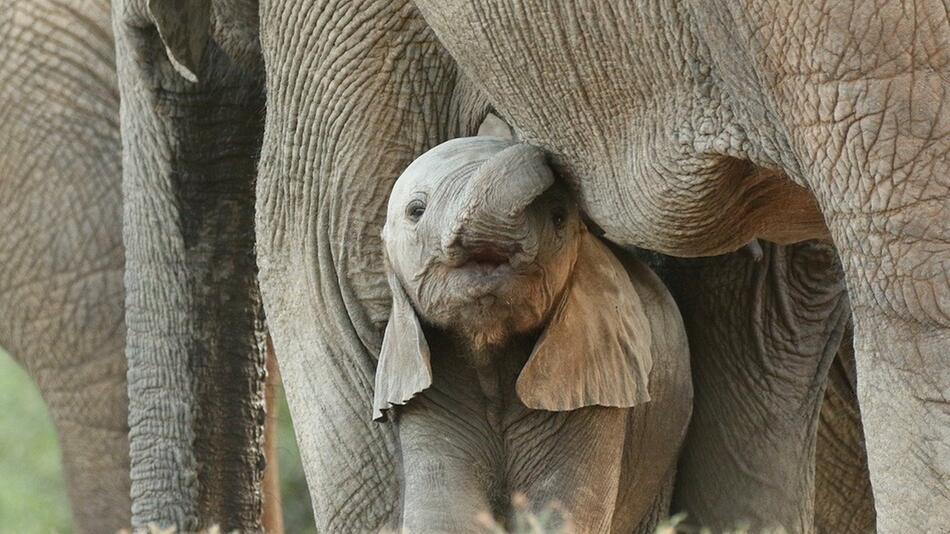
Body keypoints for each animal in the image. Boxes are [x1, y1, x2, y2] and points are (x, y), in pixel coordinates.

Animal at [376, 139, 696, 534]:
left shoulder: (593, 389)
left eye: (559, 218)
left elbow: (560, 512)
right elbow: (443, 517)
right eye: (416, 211)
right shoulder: (427, 394)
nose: (540, 149)